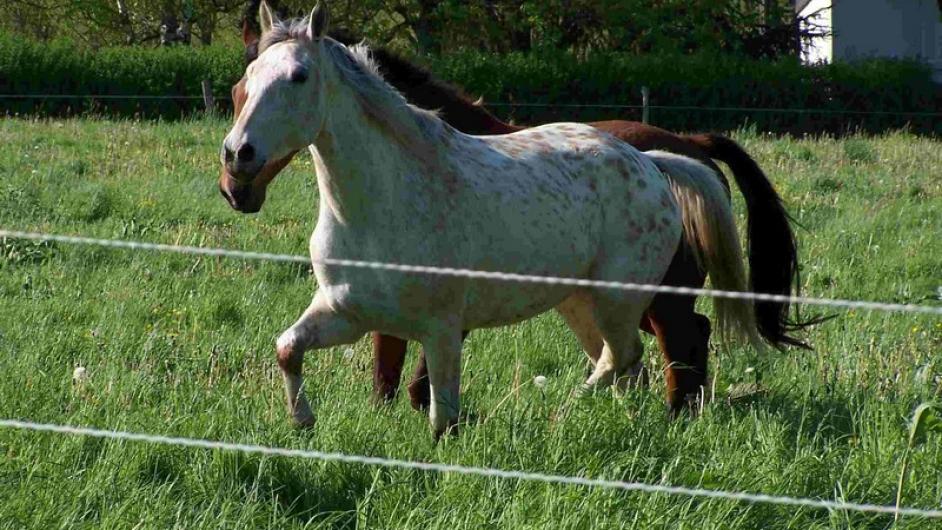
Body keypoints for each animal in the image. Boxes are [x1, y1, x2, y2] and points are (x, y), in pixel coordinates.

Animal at [220, 10, 812, 417]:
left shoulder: (441, 327)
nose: (235, 166)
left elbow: (431, 401)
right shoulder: (348, 312)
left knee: (649, 350)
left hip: (627, 299)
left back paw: (584, 410)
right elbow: (294, 351)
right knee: (631, 361)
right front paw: (306, 421)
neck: (382, 199)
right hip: (582, 302)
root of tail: (657, 159)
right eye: (241, 83)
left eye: (298, 77)